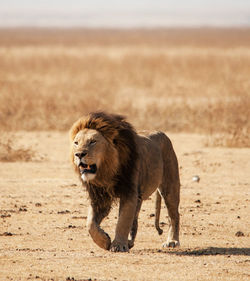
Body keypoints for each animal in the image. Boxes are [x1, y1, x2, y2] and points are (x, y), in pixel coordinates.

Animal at [70, 111, 180, 252]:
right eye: (76, 143)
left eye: (93, 142)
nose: (79, 154)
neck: (107, 171)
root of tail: (162, 133)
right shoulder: (100, 197)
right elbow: (90, 224)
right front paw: (105, 240)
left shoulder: (130, 192)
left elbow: (123, 221)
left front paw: (118, 245)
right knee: (135, 219)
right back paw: (130, 242)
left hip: (170, 186)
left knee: (174, 215)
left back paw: (172, 241)